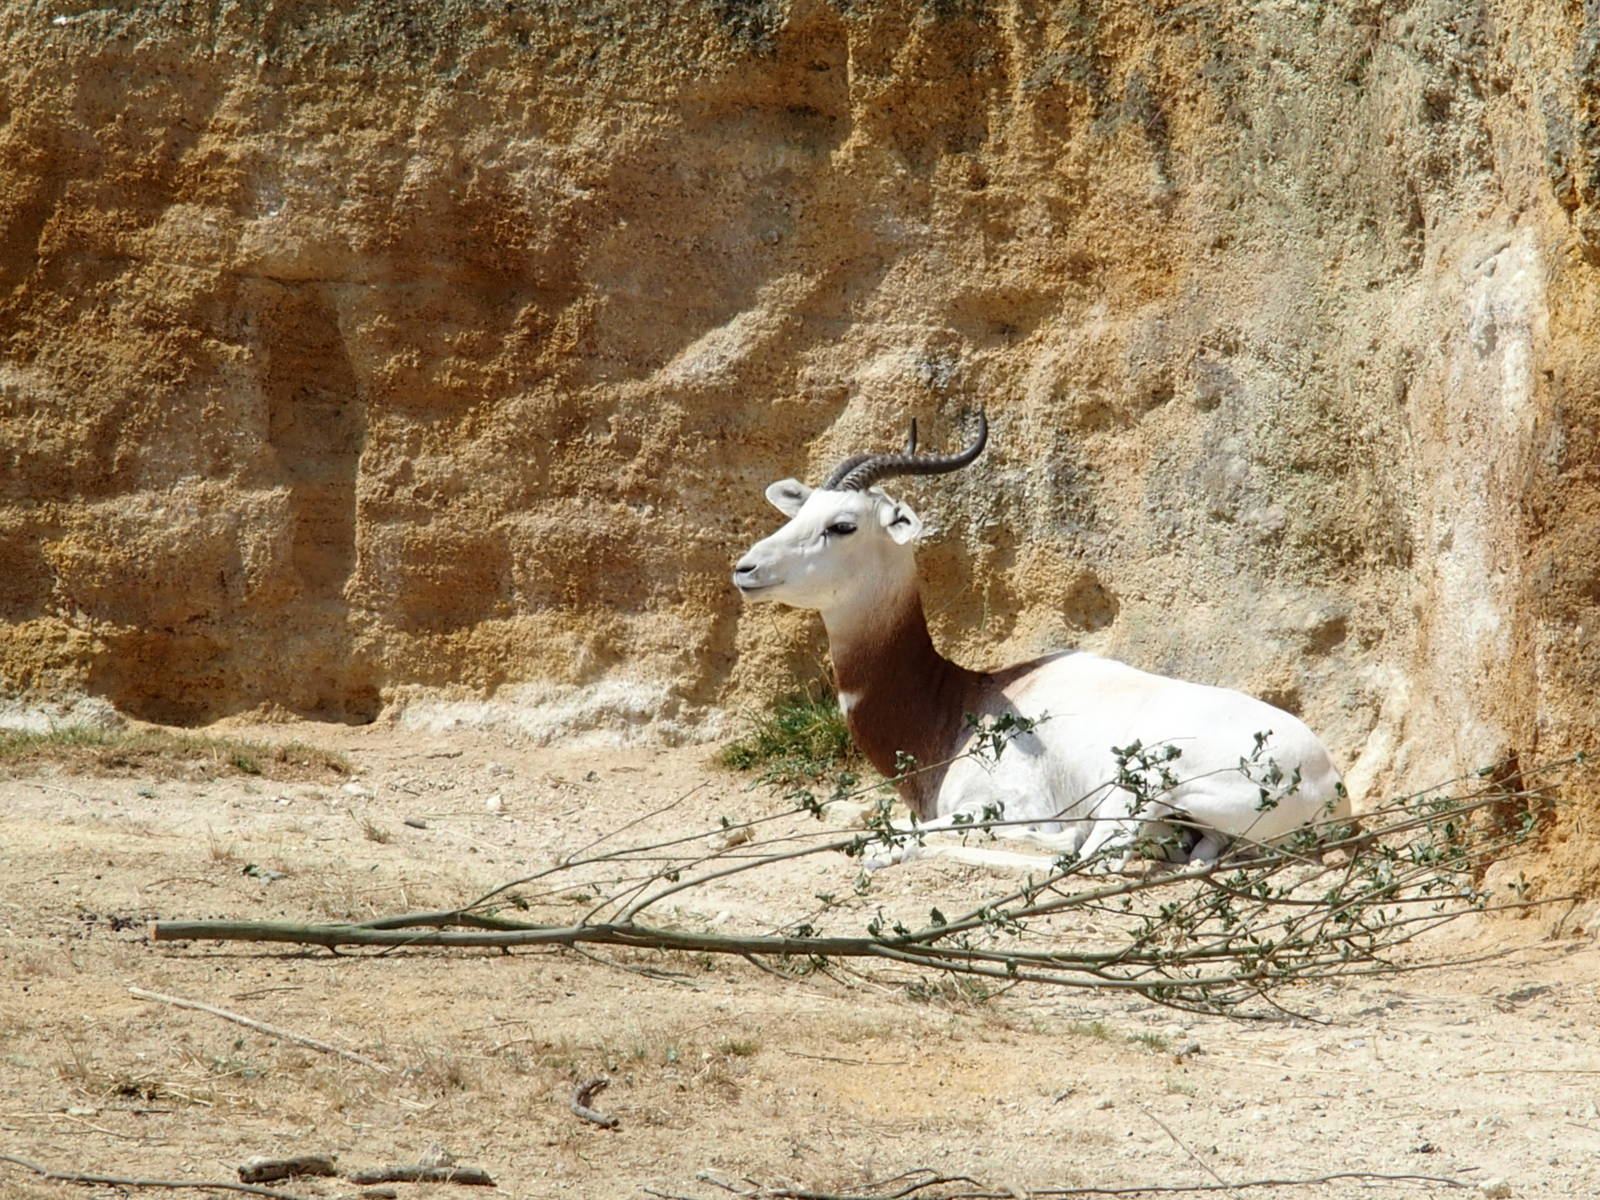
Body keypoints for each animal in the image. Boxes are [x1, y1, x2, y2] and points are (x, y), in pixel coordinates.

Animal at [732, 414, 1348, 870]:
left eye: (842, 525)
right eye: (801, 512)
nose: (746, 569)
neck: (953, 707)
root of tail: (1328, 782)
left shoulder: (1001, 803)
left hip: (1144, 786)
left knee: (1090, 858)